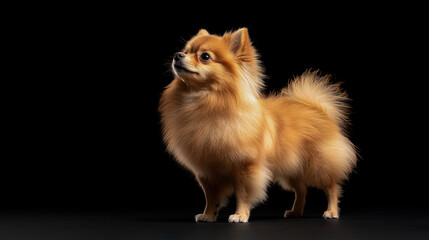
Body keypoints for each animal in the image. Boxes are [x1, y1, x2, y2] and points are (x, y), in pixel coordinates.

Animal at [159, 28, 356, 223]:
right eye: (185, 51)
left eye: (205, 56)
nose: (177, 55)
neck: (203, 102)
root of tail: (317, 108)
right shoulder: (207, 171)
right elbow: (211, 197)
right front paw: (208, 215)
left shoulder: (245, 167)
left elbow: (242, 193)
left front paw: (240, 215)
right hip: (291, 168)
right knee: (302, 189)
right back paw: (295, 212)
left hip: (317, 166)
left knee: (331, 187)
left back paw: (331, 212)